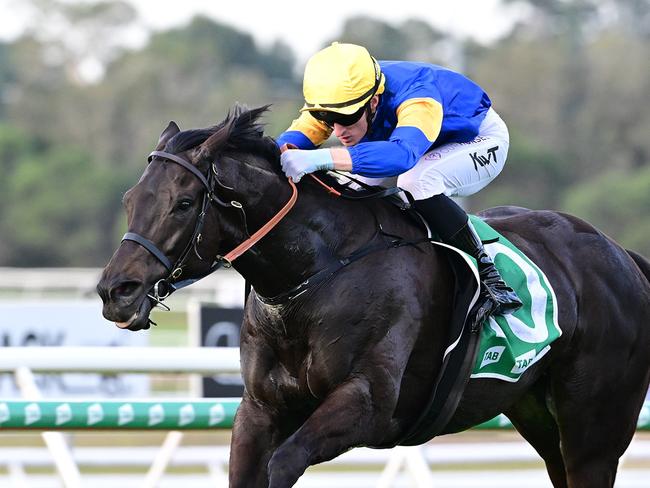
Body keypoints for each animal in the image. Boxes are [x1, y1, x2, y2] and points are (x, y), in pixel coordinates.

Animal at [96, 105, 648, 486]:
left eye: (184, 203)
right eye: (129, 199)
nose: (114, 291)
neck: (315, 275)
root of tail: (621, 255)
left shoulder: (366, 404)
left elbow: (284, 463)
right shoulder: (259, 409)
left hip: (594, 430)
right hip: (539, 416)